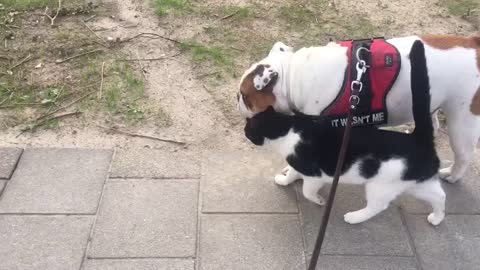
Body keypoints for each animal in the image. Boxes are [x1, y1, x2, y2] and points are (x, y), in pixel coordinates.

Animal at [238, 34, 480, 182]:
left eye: (244, 96)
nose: (237, 101)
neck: (293, 77)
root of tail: (474, 43)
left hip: (462, 123)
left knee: (464, 155)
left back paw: (451, 175)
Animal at [246, 40, 444, 226]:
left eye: (247, 129)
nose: (245, 131)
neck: (287, 128)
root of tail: (419, 139)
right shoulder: (300, 164)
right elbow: (293, 173)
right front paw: (284, 180)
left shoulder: (315, 176)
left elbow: (307, 191)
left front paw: (319, 200)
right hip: (418, 183)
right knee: (440, 196)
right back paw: (437, 218)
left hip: (380, 186)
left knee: (378, 205)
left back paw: (354, 217)